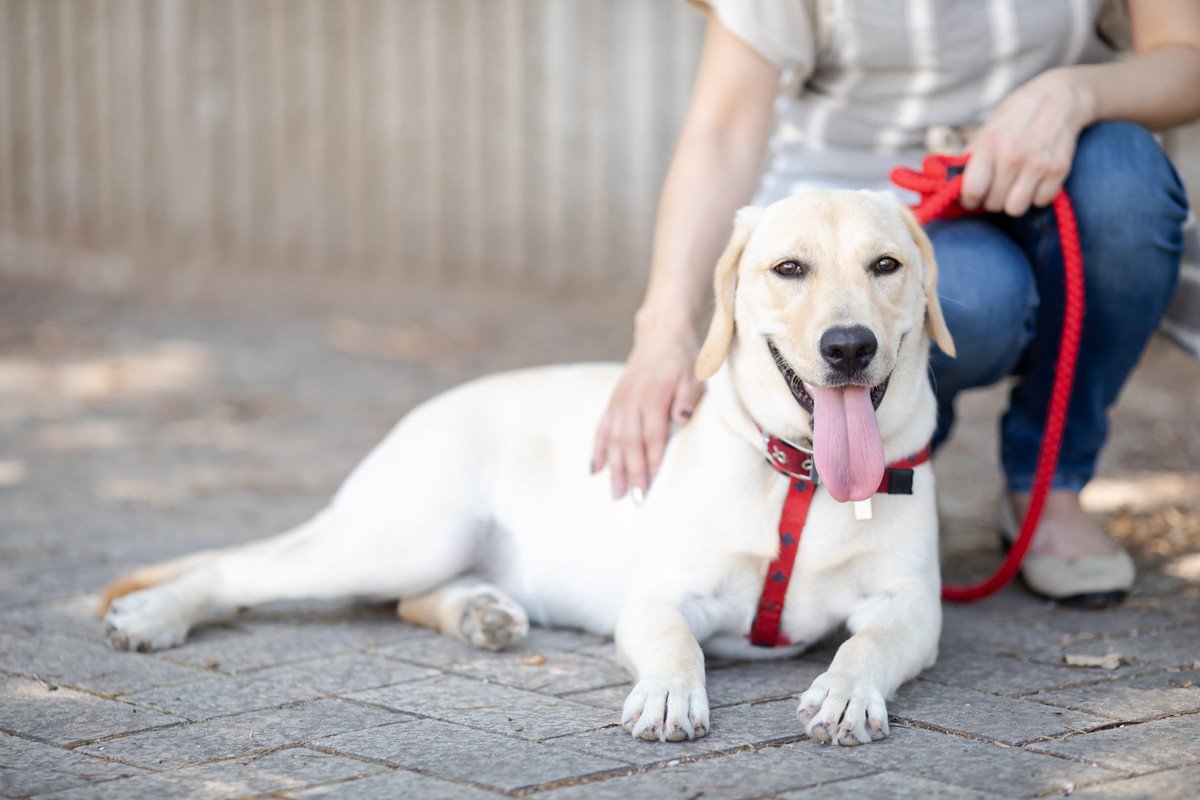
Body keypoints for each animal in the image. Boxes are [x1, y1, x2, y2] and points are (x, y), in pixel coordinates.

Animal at [103, 190, 955, 748]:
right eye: (789, 268)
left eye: (885, 265)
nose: (848, 346)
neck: (801, 478)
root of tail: (422, 412)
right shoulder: (659, 597)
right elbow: (675, 645)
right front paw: (669, 694)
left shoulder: (910, 608)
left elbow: (866, 646)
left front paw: (844, 695)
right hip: (406, 535)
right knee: (242, 573)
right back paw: (155, 615)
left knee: (406, 600)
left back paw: (480, 612)